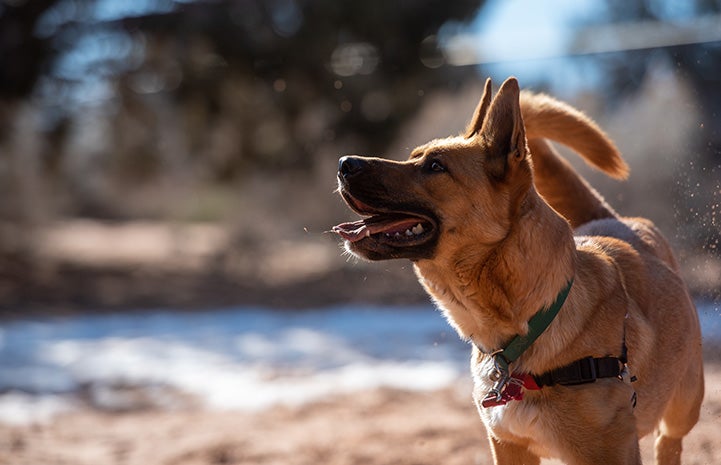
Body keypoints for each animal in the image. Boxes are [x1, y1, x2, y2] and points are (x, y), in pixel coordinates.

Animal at [334, 78, 704, 462]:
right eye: (413, 157)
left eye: (435, 166)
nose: (344, 163)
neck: (530, 325)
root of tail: (614, 219)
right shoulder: (509, 446)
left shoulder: (612, 451)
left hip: (686, 403)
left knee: (670, 439)